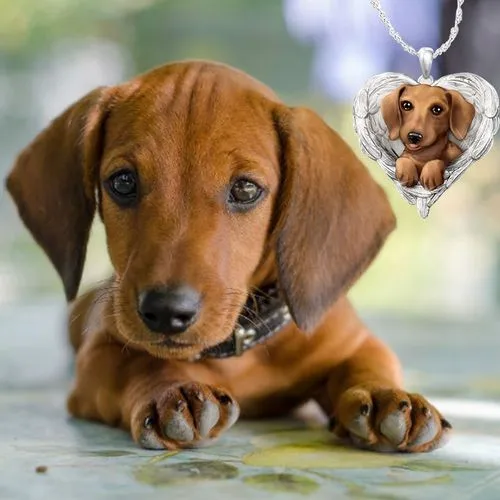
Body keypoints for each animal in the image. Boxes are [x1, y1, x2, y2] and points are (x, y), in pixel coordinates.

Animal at [6, 61, 451, 452]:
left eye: (246, 189)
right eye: (123, 182)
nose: (166, 311)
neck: (237, 345)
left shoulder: (353, 342)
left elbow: (367, 365)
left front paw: (384, 396)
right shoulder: (98, 358)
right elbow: (141, 363)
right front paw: (174, 390)